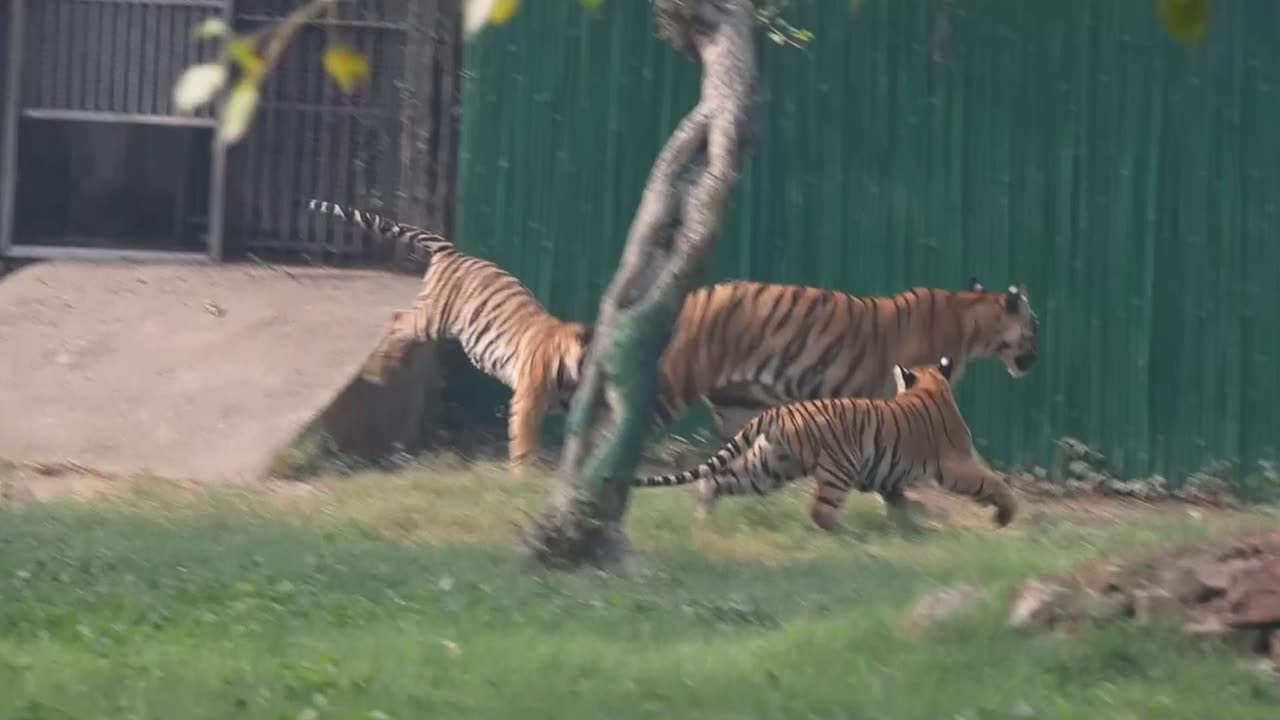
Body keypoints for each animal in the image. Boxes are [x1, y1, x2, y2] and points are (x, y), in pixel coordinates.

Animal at [307, 198, 591, 474]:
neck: (571, 373)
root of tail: (454, 251)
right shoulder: (528, 401)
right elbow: (524, 444)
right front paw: (522, 478)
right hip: (433, 318)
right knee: (397, 319)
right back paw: (378, 371)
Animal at [632, 353, 1018, 530]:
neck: (931, 385)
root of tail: (777, 412)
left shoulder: (892, 476)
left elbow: (899, 502)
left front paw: (910, 525)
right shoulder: (955, 463)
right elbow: (992, 481)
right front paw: (1005, 515)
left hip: (769, 466)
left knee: (718, 479)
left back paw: (703, 515)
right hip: (838, 466)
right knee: (821, 511)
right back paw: (847, 533)